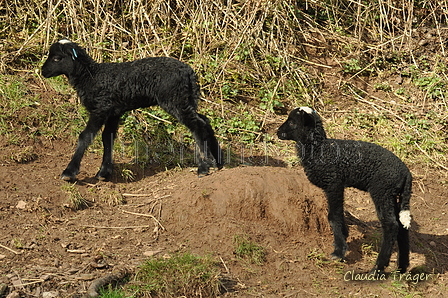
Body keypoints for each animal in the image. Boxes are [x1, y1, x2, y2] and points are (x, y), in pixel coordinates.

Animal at [42, 38, 224, 180]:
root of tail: (189, 72)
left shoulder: (101, 108)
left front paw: (69, 172)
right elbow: (107, 138)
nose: (43, 71)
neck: (90, 76)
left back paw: (203, 168)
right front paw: (104, 172)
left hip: (174, 99)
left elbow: (85, 136)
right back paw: (218, 163)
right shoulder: (113, 111)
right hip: (187, 98)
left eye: (57, 58)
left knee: (197, 125)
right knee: (205, 121)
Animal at [276, 106, 412, 274]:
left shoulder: (333, 183)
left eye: (292, 122)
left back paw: (378, 268)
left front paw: (339, 252)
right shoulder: (338, 186)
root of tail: (406, 173)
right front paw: (344, 236)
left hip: (382, 191)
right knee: (402, 226)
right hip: (394, 195)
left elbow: (333, 216)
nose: (278, 132)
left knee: (391, 225)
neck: (319, 149)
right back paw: (402, 267)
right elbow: (339, 214)